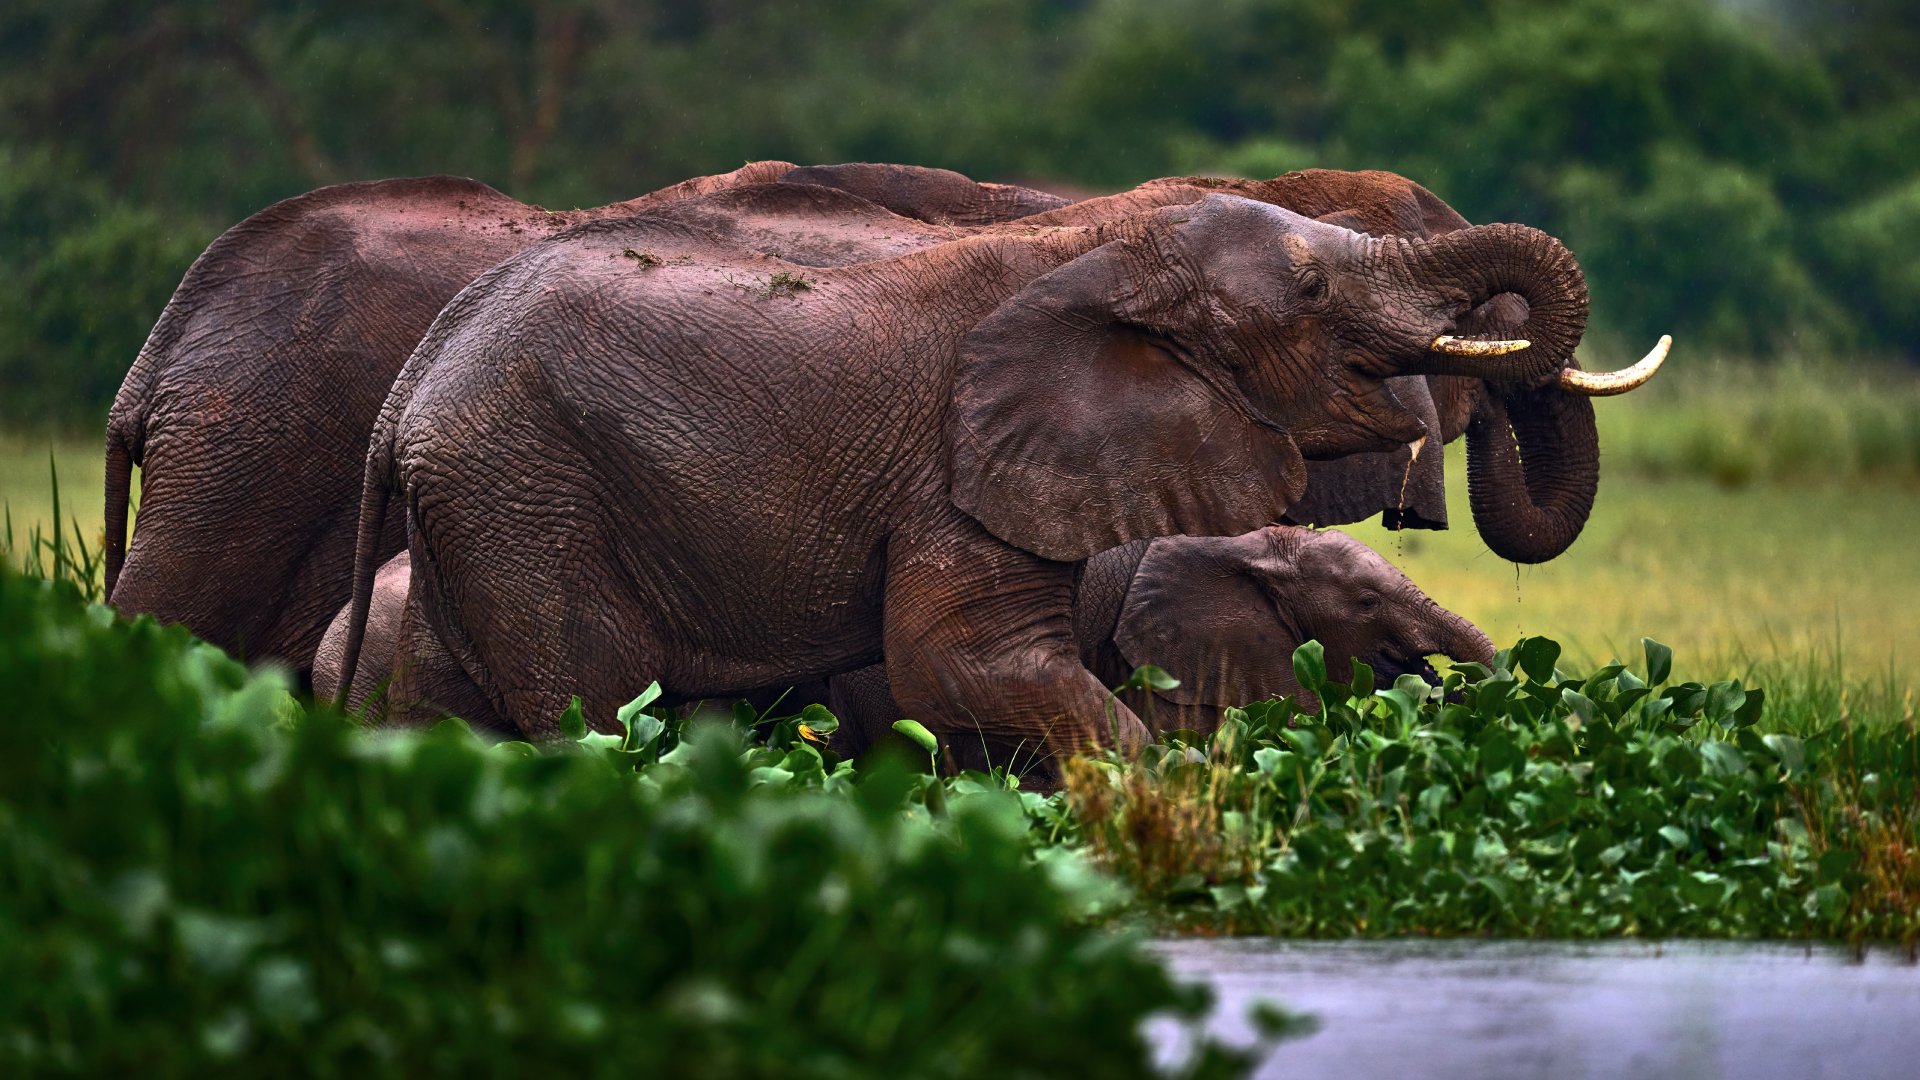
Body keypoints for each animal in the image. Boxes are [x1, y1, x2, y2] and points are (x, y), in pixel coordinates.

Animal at [334, 189, 1594, 772]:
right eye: (1314, 294)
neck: (1104, 249)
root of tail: (406, 392)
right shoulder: (960, 467)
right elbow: (963, 666)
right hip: (525, 498)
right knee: (592, 716)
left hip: (476, 514)